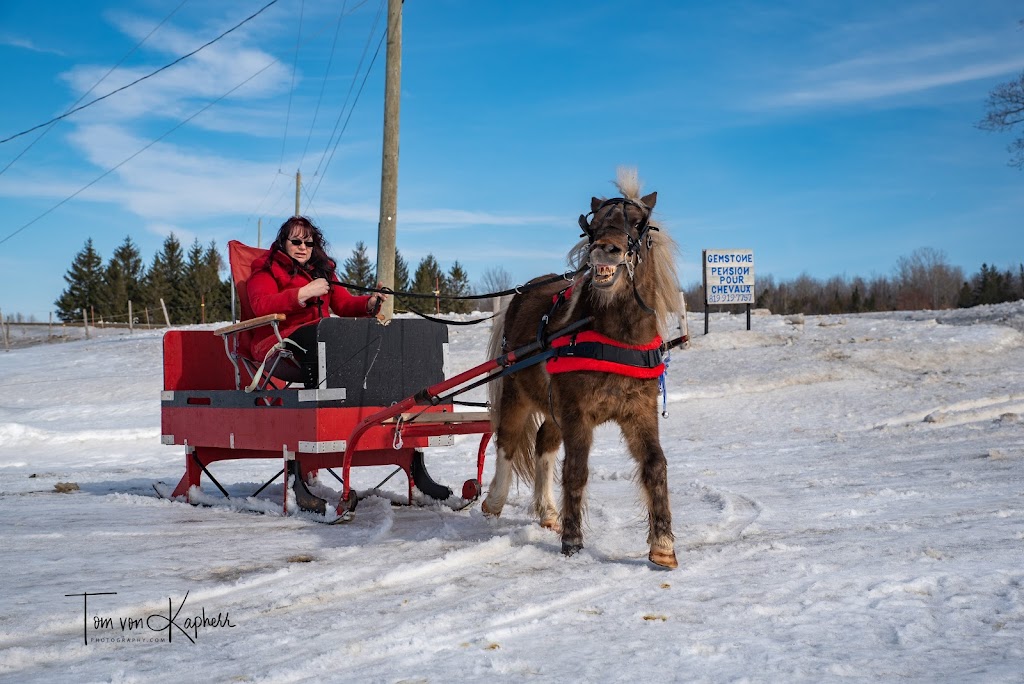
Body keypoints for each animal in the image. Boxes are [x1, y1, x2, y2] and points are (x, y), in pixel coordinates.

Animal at [479, 167, 679, 569]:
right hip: (517, 393)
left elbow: (655, 465)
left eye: (639, 224)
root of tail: (523, 292)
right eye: (594, 225)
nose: (606, 249)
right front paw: (572, 540)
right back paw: (494, 500)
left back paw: (547, 512)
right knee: (507, 441)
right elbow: (575, 470)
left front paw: (663, 544)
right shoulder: (577, 413)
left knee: (543, 444)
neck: (617, 338)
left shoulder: (639, 412)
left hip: (553, 406)